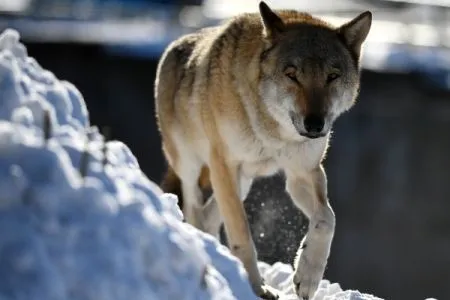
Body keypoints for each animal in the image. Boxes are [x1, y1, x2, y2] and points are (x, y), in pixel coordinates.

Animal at [153, 1, 370, 298]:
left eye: (332, 77)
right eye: (292, 75)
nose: (315, 124)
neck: (273, 131)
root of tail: (174, 45)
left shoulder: (303, 172)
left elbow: (327, 218)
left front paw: (307, 276)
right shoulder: (224, 165)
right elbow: (243, 235)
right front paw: (256, 288)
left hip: (241, 182)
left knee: (209, 217)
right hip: (192, 166)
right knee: (194, 209)